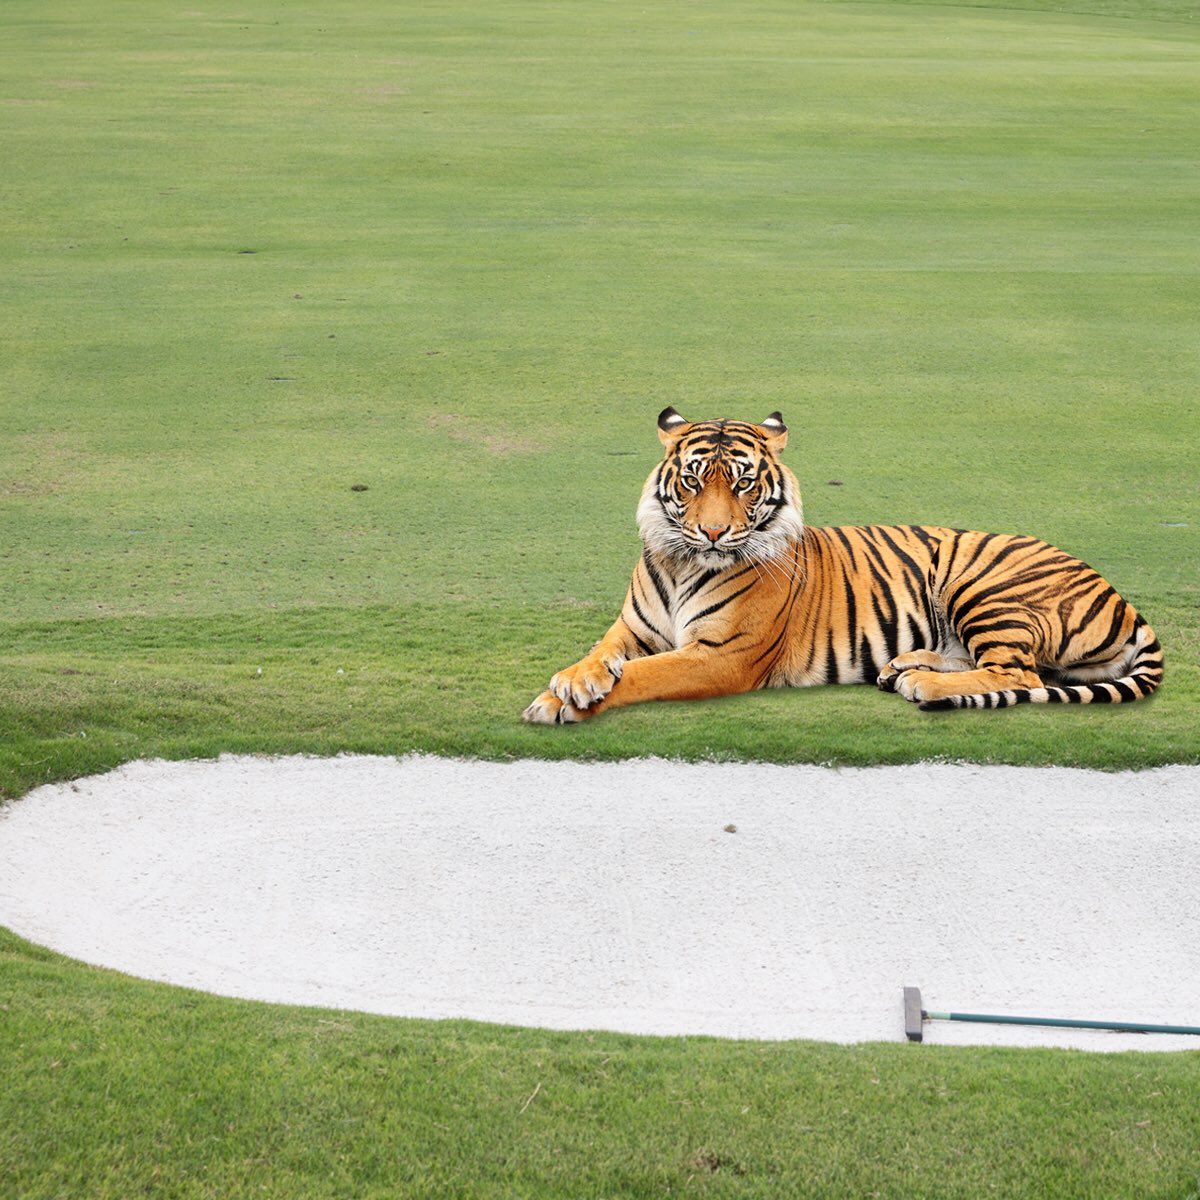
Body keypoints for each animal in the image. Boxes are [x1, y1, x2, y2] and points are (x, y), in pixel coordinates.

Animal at [522, 407, 1163, 723]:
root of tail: (1121, 596)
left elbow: (644, 675)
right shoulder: (632, 629)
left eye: (743, 483)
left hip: (981, 584)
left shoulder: (722, 655)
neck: (683, 563)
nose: (713, 532)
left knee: (1019, 674)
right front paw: (572, 681)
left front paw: (558, 703)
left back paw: (922, 683)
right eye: (693, 480)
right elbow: (602, 655)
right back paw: (904, 666)